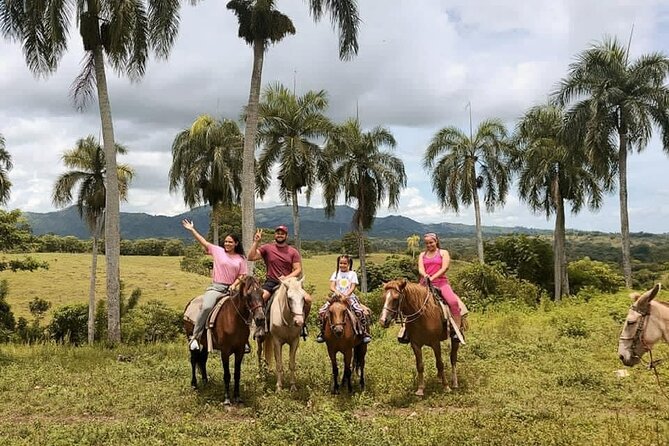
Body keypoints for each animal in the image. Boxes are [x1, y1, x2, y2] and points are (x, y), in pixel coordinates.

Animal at [185, 276, 266, 404]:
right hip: (191, 338)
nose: (260, 318)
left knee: (202, 360)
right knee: (193, 360)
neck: (234, 319)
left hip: (205, 344)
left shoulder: (240, 351)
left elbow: (237, 374)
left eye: (262, 293)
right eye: (248, 295)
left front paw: (237, 397)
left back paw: (205, 381)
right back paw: (194, 384)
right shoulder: (225, 352)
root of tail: (190, 303)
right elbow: (227, 375)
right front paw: (227, 399)